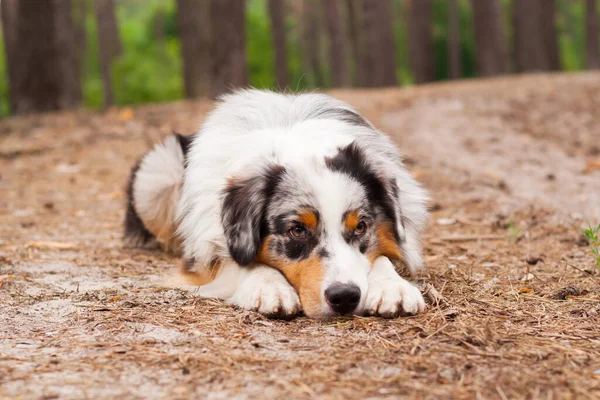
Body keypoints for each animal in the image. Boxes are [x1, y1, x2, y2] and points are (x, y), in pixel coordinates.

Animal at [124, 90, 428, 318]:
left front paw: (392, 287)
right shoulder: (203, 254)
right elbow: (240, 263)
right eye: (297, 230)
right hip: (158, 172)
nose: (345, 297)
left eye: (361, 227)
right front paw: (271, 288)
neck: (299, 146)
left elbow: (384, 256)